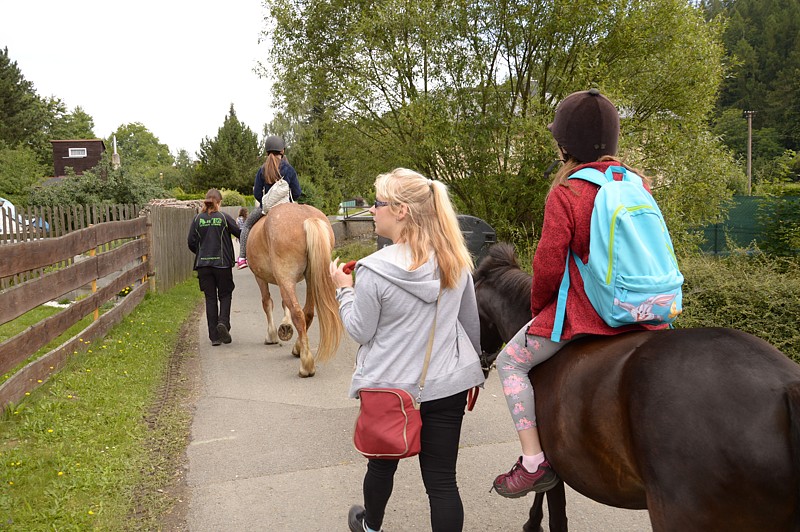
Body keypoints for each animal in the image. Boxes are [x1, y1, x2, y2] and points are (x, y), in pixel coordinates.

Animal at [245, 202, 342, 376]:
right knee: (307, 312)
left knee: (298, 313)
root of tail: (307, 218)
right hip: (311, 278)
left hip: (286, 278)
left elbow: (267, 302)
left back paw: (306, 364)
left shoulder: (261, 278)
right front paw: (285, 326)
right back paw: (298, 349)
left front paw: (272, 335)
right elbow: (284, 304)